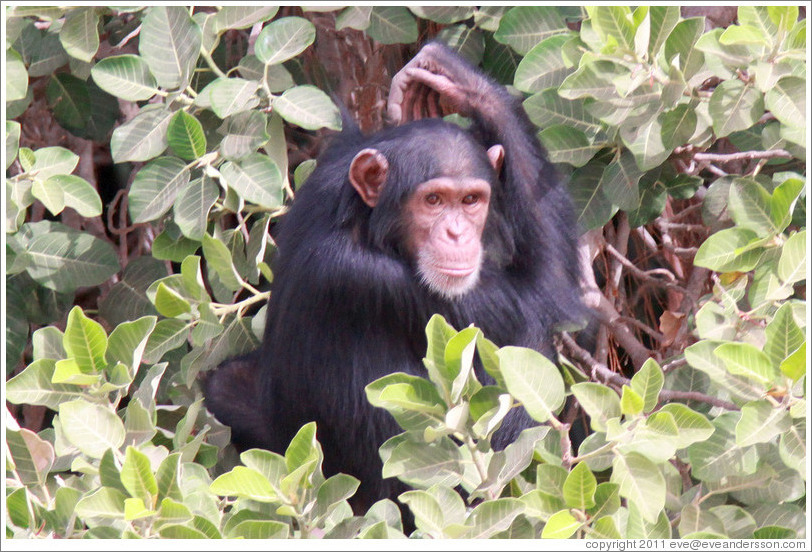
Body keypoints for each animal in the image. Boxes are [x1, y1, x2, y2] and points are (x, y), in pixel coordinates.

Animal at [203, 42, 584, 512]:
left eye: (471, 200)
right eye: (433, 201)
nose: (457, 233)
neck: (365, 222)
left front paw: (458, 82)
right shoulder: (375, 279)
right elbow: (545, 292)